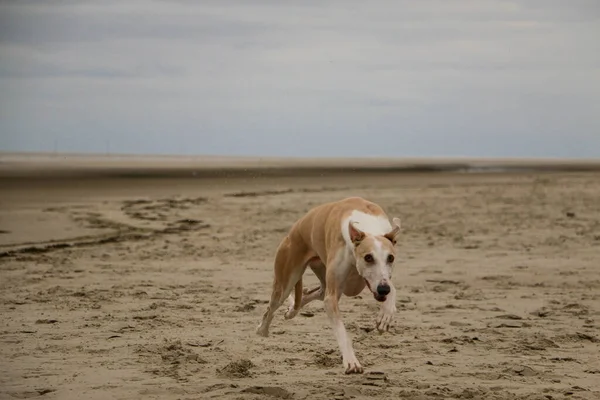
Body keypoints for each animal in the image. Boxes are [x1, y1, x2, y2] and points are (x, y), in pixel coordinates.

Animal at [255, 197, 400, 376]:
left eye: (391, 258)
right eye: (368, 257)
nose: (383, 289)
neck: (368, 228)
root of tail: (293, 231)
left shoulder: (382, 279)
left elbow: (392, 288)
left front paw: (385, 314)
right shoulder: (332, 297)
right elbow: (341, 330)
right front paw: (351, 362)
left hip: (323, 275)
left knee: (312, 293)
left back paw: (291, 309)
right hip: (285, 280)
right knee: (272, 307)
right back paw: (262, 329)